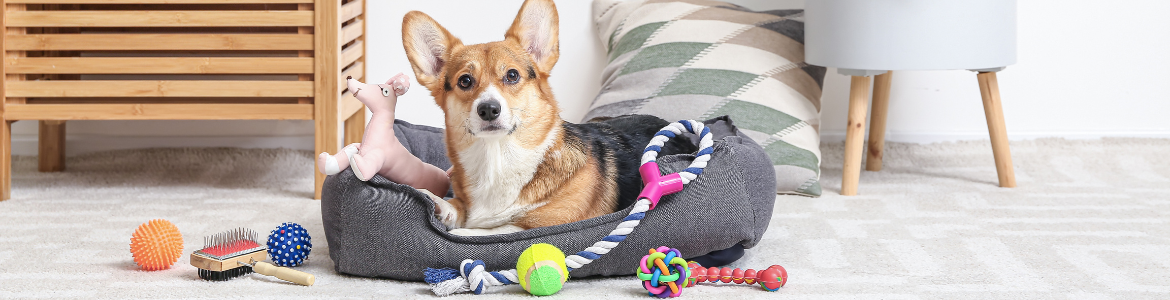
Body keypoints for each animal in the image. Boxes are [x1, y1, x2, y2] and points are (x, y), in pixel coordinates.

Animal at [402, 0, 692, 235]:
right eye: (464, 81)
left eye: (512, 75)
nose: (488, 109)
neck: (497, 159)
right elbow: (457, 207)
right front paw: (437, 203)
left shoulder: (549, 222)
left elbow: (491, 230)